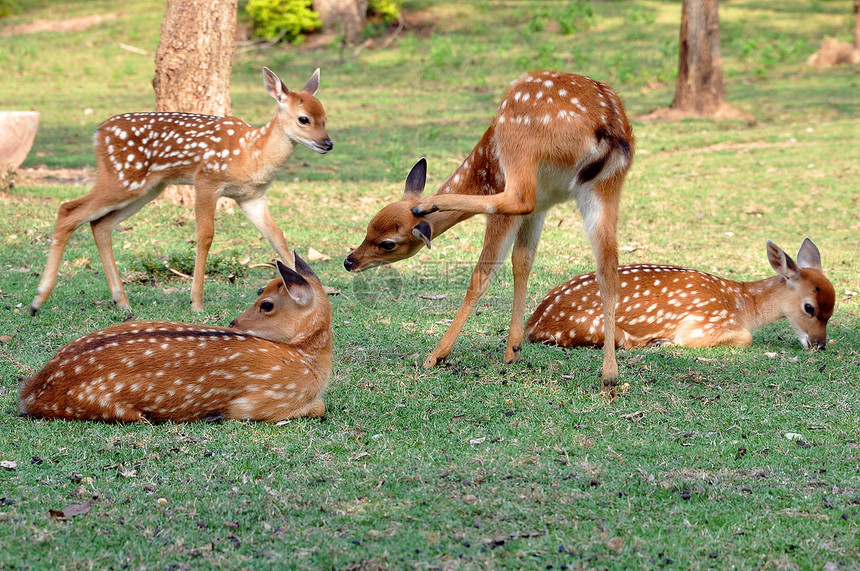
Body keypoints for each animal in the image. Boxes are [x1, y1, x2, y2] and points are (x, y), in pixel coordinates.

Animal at [21, 255, 330, 424]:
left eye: (267, 304)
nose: (233, 323)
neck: (308, 361)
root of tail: (29, 394)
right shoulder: (263, 401)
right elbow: (320, 407)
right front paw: (215, 414)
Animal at [30, 70, 332, 318]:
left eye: (325, 118)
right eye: (303, 119)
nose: (328, 143)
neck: (253, 154)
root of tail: (98, 134)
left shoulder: (251, 197)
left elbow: (277, 237)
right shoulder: (206, 179)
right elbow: (205, 236)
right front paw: (196, 302)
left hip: (147, 188)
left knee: (100, 224)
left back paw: (122, 302)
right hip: (122, 178)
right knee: (68, 210)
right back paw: (37, 301)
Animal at [342, 69, 632, 396]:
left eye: (388, 243)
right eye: (368, 226)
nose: (350, 261)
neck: (480, 172)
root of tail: (608, 126)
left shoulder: (508, 197)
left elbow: (483, 275)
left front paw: (437, 355)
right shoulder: (541, 209)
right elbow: (522, 261)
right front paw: (512, 349)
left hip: (519, 143)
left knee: (517, 197)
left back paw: (429, 205)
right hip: (605, 187)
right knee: (608, 269)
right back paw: (610, 376)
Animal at [524, 239, 832, 350]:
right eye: (810, 307)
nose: (820, 345)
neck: (743, 304)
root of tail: (533, 325)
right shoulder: (703, 323)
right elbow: (746, 337)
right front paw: (669, 341)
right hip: (598, 326)